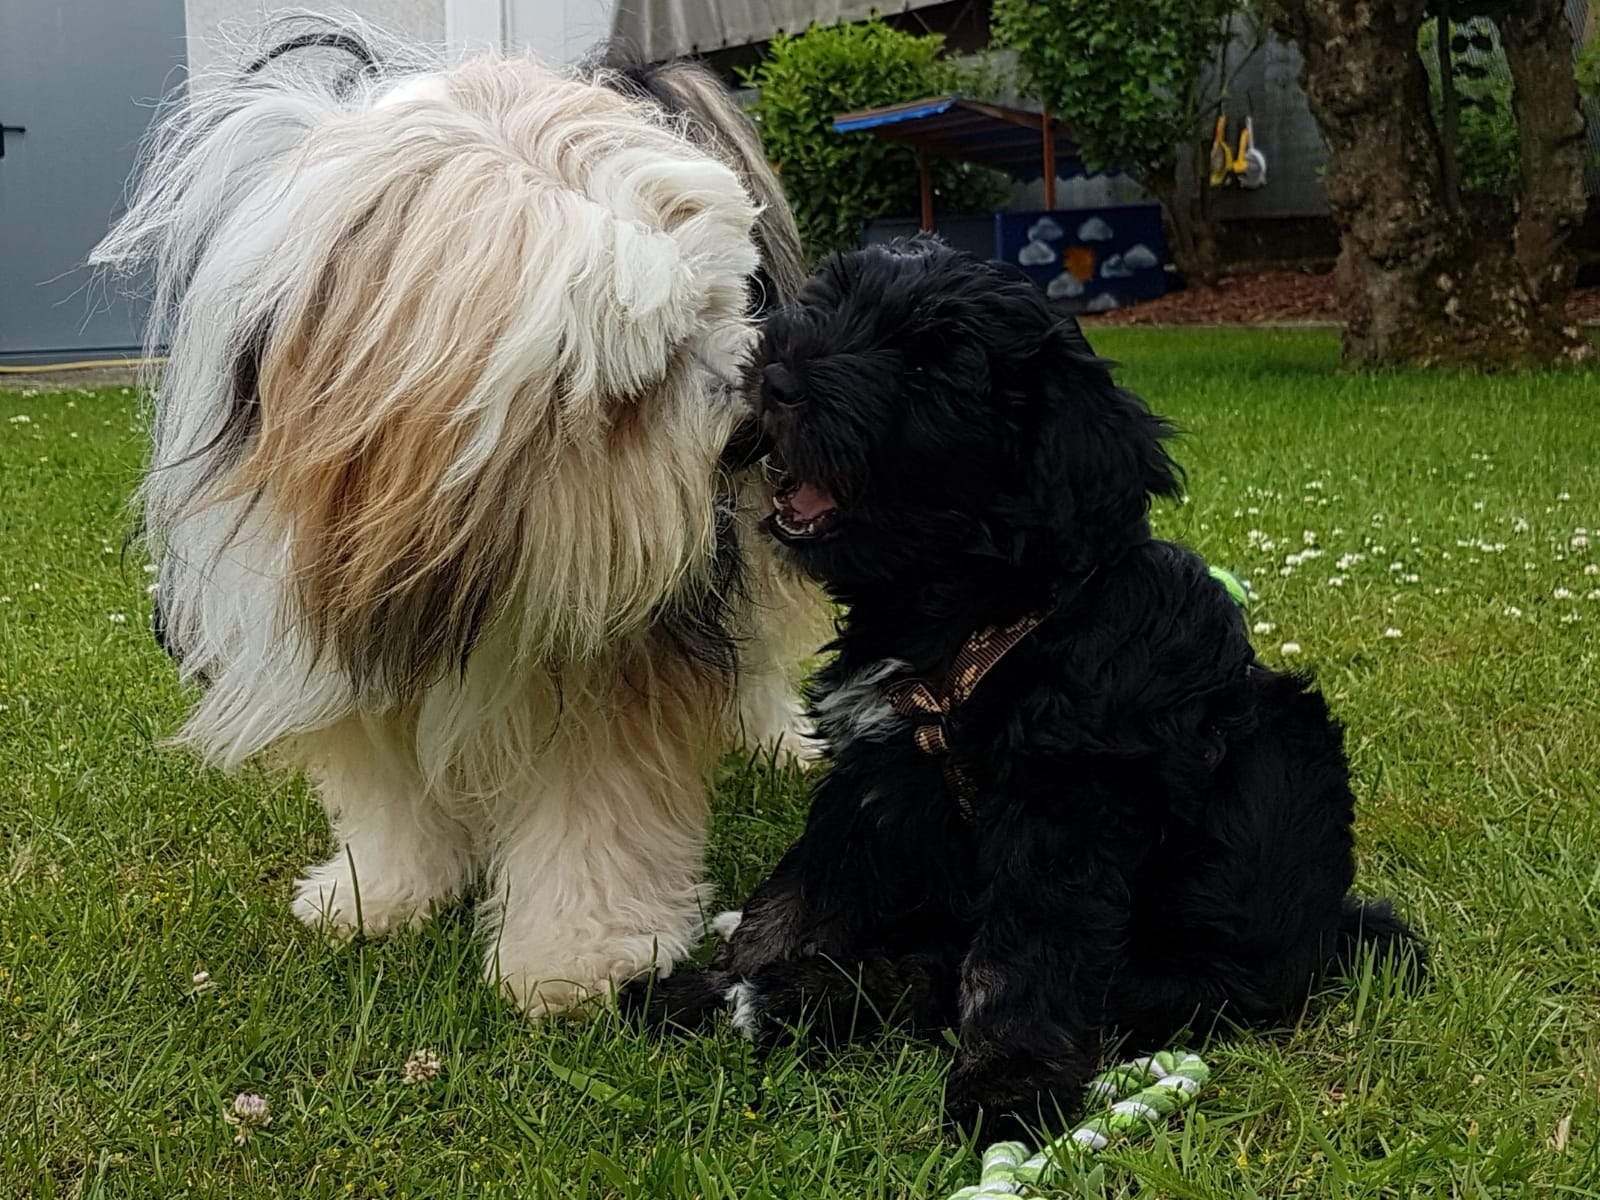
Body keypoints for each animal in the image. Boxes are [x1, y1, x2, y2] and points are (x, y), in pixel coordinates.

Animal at [95, 25, 825, 1017]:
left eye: (725, 306)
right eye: (640, 373)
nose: (750, 427)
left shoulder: (616, 638)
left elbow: (597, 803)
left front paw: (578, 955)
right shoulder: (319, 622)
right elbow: (386, 789)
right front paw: (383, 893)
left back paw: (777, 740)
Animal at [624, 240, 1427, 1139]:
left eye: (931, 370)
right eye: (830, 308)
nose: (777, 379)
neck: (980, 616)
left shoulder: (1063, 811)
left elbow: (1019, 959)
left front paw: (1007, 1088)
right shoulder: (876, 781)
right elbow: (794, 896)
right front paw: (710, 984)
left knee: (943, 973)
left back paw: (793, 1002)